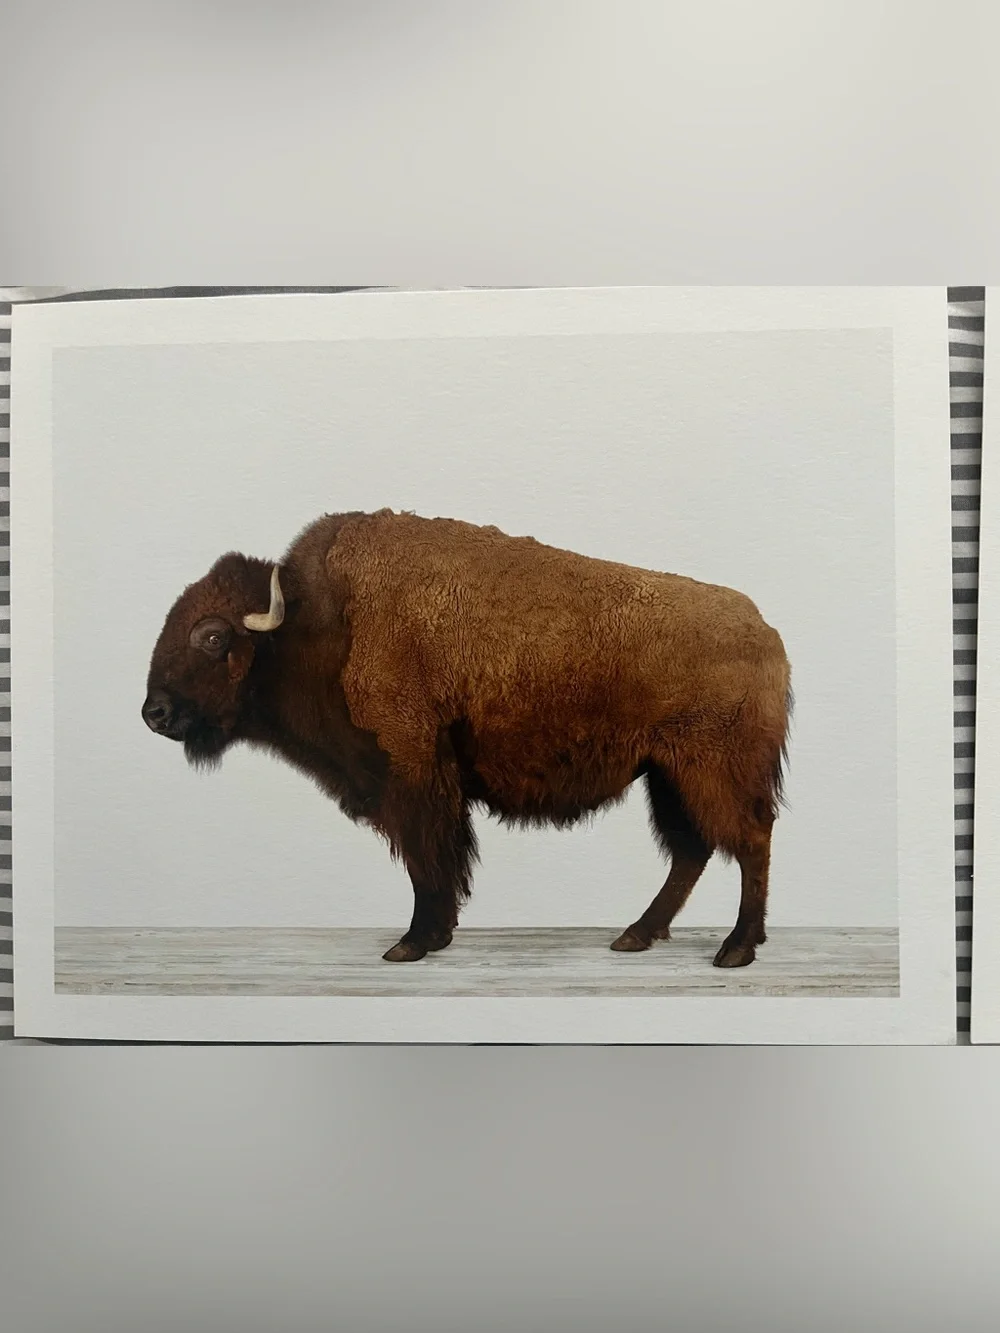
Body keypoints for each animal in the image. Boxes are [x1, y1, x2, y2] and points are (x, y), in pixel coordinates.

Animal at [143, 509, 792, 967]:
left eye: (212, 636)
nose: (155, 713)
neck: (323, 624)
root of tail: (765, 632)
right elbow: (439, 856)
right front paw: (436, 935)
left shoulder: (412, 770)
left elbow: (427, 855)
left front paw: (412, 942)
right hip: (666, 773)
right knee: (693, 851)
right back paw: (637, 935)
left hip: (710, 768)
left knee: (750, 839)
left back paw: (735, 949)